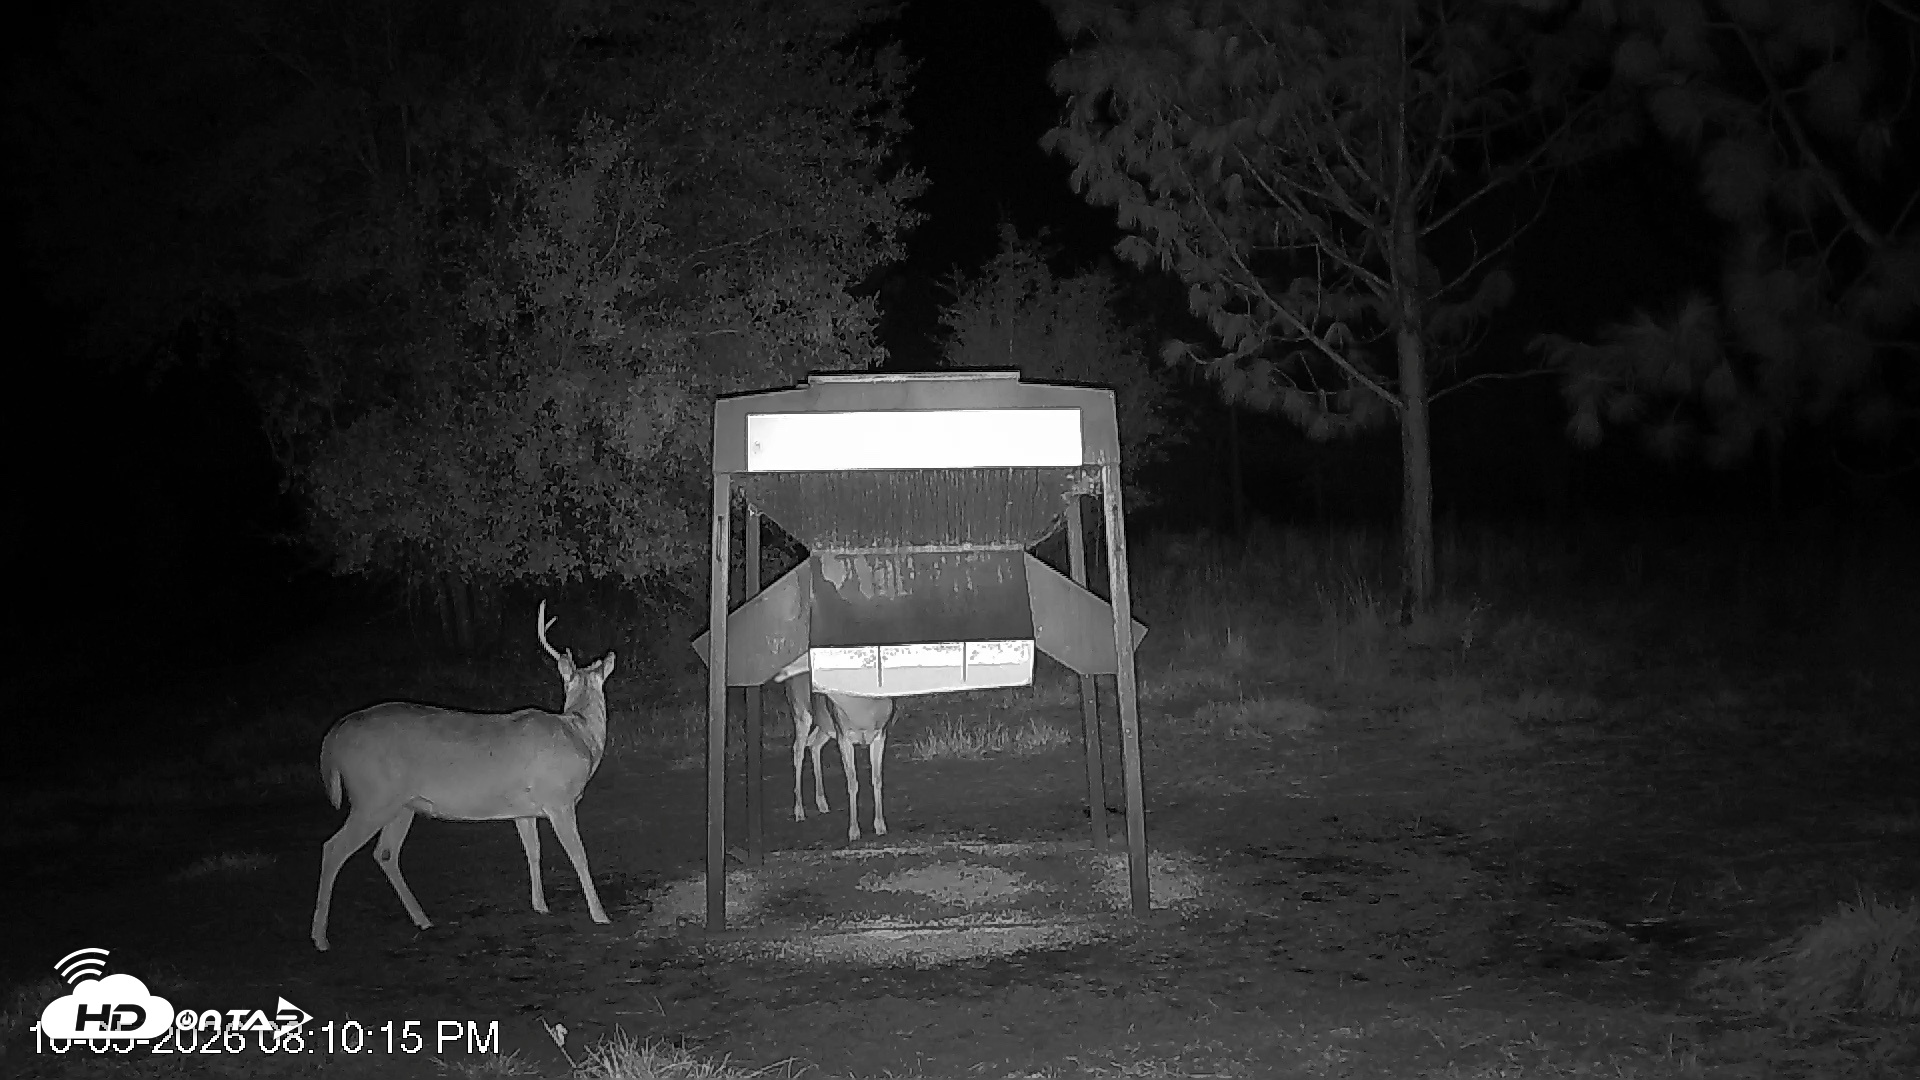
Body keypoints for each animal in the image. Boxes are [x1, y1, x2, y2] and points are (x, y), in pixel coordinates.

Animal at [310, 601, 615, 952]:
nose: (609, 654)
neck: (580, 734)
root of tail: (333, 737)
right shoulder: (559, 799)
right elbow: (578, 855)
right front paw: (600, 914)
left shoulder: (524, 809)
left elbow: (533, 851)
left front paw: (540, 905)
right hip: (371, 797)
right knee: (332, 849)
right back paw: (320, 937)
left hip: (401, 805)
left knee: (385, 853)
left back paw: (423, 920)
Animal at [773, 656, 896, 842]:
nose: (780, 672)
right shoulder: (843, 734)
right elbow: (852, 782)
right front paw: (854, 831)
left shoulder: (880, 734)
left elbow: (877, 779)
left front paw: (880, 826)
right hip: (801, 712)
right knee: (798, 750)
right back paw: (799, 812)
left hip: (825, 725)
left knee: (813, 744)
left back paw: (822, 803)